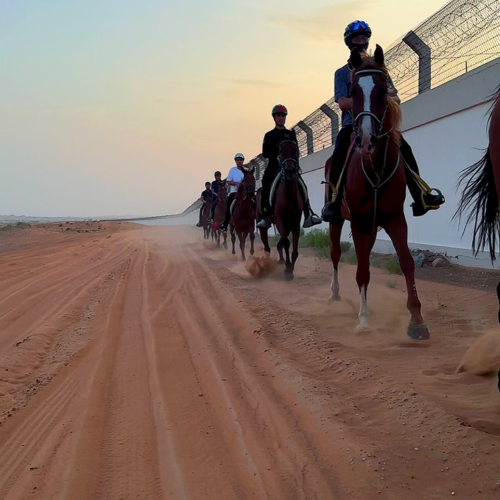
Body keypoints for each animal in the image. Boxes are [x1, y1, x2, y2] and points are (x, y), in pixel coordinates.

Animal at [326, 45, 428, 340]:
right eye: (353, 91)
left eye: (383, 90)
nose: (367, 140)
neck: (375, 169)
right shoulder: (358, 222)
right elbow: (361, 270)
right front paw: (363, 319)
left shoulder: (395, 219)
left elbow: (407, 262)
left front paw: (417, 319)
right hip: (338, 219)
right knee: (335, 253)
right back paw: (335, 294)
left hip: (372, 227)